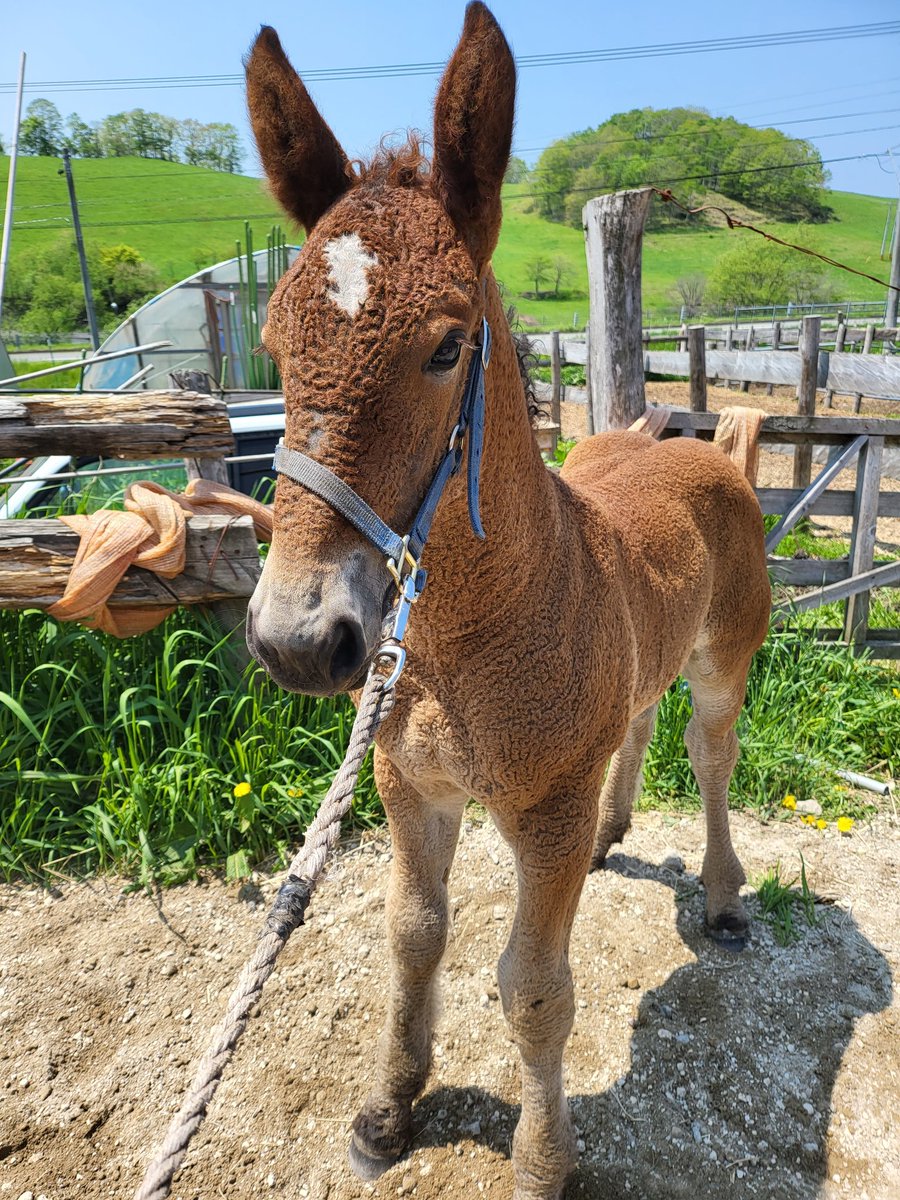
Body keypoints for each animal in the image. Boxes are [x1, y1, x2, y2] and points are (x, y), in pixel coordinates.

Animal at [243, 5, 770, 1197]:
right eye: (273, 344)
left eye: (446, 346)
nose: (299, 639)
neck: (456, 648)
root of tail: (711, 448)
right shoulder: (410, 790)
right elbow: (411, 937)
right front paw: (388, 1107)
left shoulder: (544, 818)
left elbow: (533, 987)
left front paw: (541, 1159)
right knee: (638, 719)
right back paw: (624, 829)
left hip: (726, 658)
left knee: (711, 752)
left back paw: (722, 898)